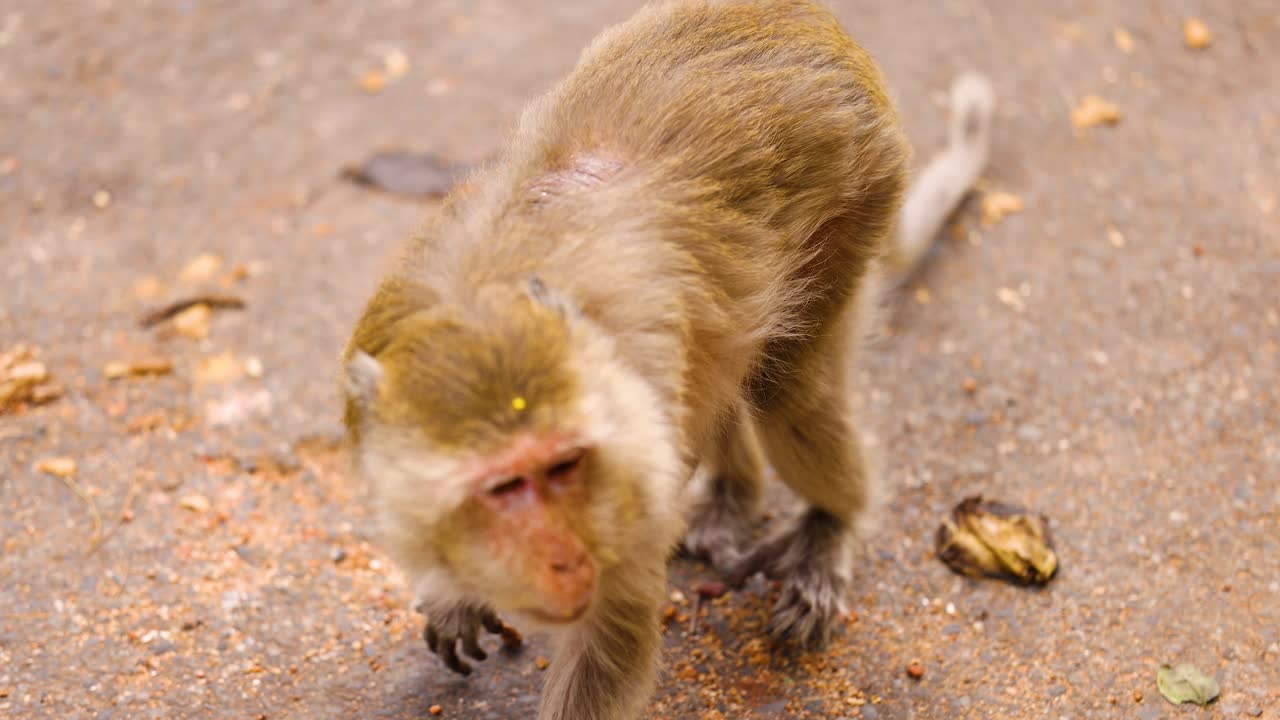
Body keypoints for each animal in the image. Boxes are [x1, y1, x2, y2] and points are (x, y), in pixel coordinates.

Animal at [339, 2, 995, 719]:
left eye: (565, 467)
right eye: (503, 487)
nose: (566, 559)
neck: (486, 293)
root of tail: (801, 20)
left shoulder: (630, 465)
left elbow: (609, 640)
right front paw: (453, 595)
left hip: (861, 191)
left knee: (786, 385)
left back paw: (830, 527)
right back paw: (736, 494)